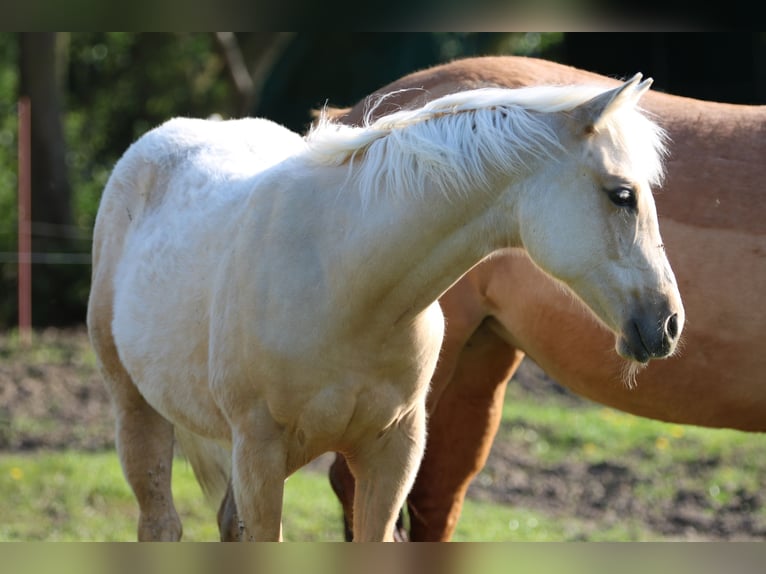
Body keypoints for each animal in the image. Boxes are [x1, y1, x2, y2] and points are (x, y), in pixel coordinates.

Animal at [88, 74, 684, 544]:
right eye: (622, 194)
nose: (669, 322)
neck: (347, 286)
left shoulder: (392, 452)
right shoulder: (260, 452)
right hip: (138, 411)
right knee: (160, 525)